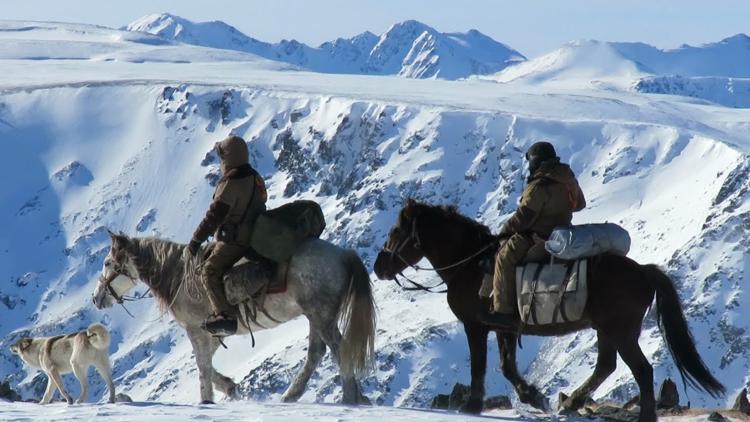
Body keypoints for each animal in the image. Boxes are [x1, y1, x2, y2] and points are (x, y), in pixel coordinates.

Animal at [92, 232, 376, 404]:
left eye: (107, 263)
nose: (96, 298)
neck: (180, 276)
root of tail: (342, 254)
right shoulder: (215, 332)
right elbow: (206, 364)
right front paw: (228, 387)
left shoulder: (197, 330)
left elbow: (202, 366)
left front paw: (206, 399)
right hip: (315, 316)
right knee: (317, 352)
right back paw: (295, 395)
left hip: (320, 315)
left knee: (339, 349)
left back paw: (349, 398)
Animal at [374, 200, 724, 422]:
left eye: (396, 231)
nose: (378, 267)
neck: (470, 263)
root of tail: (642, 271)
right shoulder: (504, 327)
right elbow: (507, 367)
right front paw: (535, 397)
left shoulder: (475, 326)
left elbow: (480, 366)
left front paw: (472, 406)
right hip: (606, 330)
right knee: (606, 366)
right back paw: (571, 403)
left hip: (621, 331)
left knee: (641, 369)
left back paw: (643, 416)